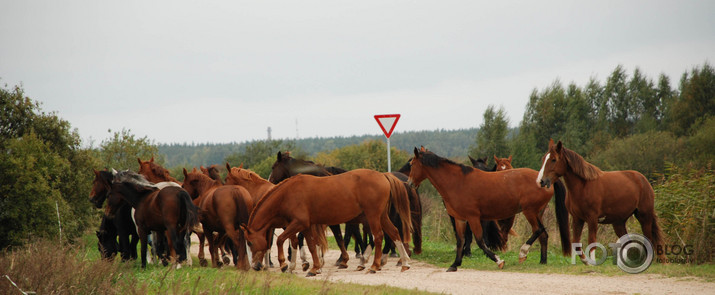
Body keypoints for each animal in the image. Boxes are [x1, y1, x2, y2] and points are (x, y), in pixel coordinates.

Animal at [242, 170, 414, 276]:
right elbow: (311, 245)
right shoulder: (306, 226)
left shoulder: (299, 223)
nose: (255, 266)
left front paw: (285, 264)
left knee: (378, 237)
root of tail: (383, 175)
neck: (288, 193)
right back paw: (405, 263)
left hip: (373, 216)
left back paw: (374, 266)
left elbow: (281, 240)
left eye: (249, 242)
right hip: (382, 216)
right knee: (394, 233)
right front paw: (314, 268)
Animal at [408, 149, 572, 272]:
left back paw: (523, 252)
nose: (409, 184)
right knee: (543, 234)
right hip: (538, 212)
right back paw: (542, 261)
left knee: (538, 230)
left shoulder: (473, 218)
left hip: (529, 211)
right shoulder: (460, 219)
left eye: (412, 164)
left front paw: (499, 260)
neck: (457, 182)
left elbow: (480, 241)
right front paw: (454, 265)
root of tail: (545, 180)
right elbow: (460, 241)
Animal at [536, 140, 664, 264]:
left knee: (648, 239)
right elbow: (576, 242)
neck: (583, 187)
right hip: (619, 222)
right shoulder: (577, 219)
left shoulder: (592, 219)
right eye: (543, 159)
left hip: (644, 216)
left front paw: (592, 261)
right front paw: (584, 261)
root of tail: (643, 180)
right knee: (627, 241)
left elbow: (592, 242)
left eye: (554, 159)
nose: (541, 181)